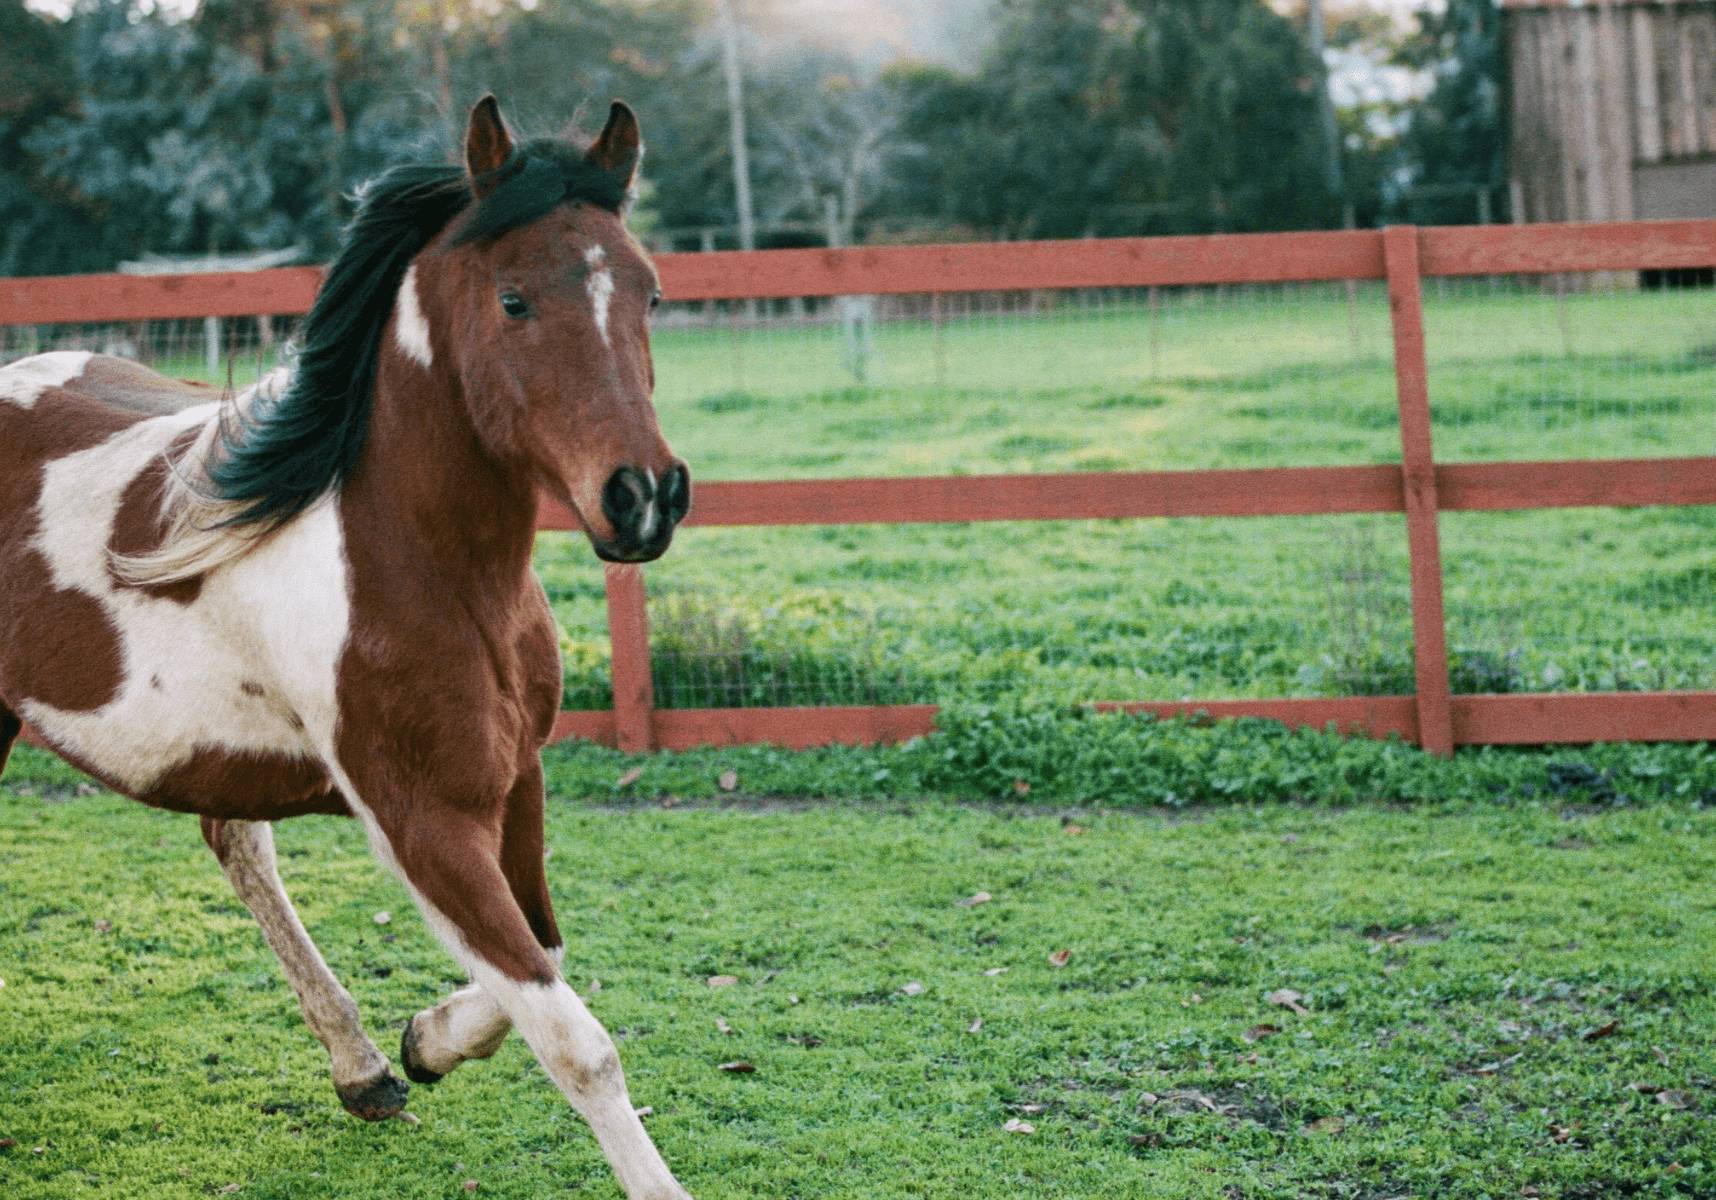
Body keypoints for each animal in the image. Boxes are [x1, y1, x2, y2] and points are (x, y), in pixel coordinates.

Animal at [0, 97, 696, 1200]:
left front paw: (424, 1041)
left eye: (649, 292)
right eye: (512, 299)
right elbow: (575, 1038)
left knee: (236, 841)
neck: (428, 568)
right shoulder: (421, 820)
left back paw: (363, 1067)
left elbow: (542, 951)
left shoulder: (515, 782)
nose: (643, 497)